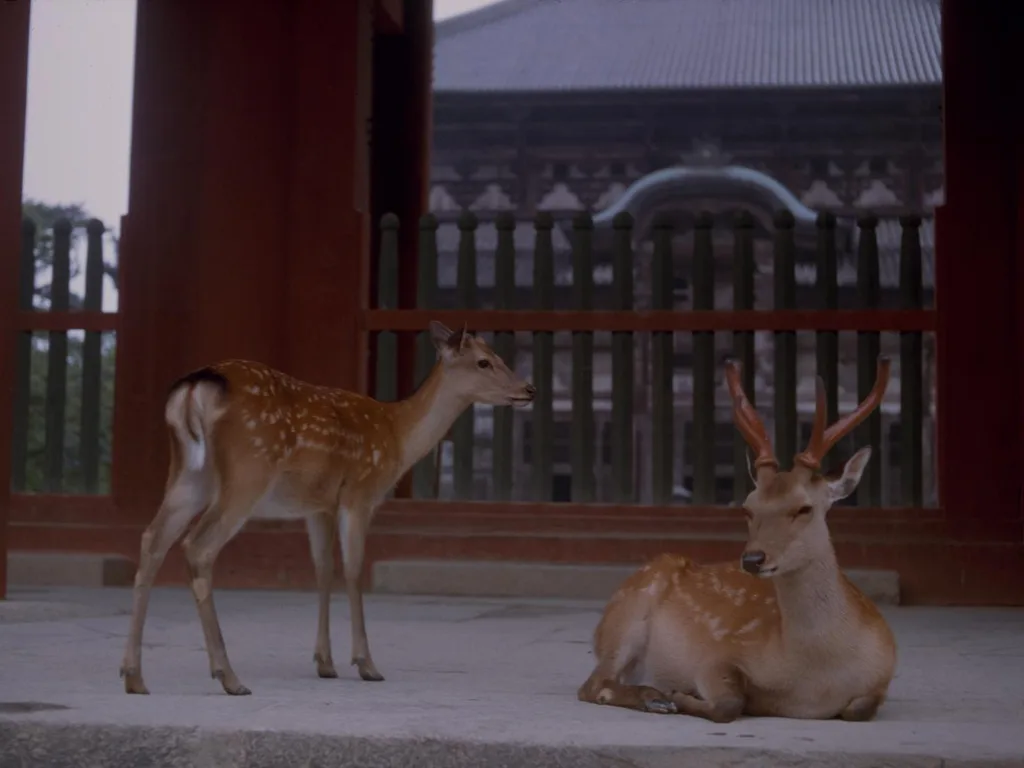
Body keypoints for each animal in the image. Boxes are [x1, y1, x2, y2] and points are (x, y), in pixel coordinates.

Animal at [119, 321, 535, 696]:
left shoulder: (318, 506)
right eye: (484, 361)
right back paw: (229, 677)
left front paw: (325, 662)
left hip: (188, 474)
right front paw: (366, 664)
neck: (397, 438)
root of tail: (195, 387)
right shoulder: (360, 492)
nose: (528, 389)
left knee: (152, 539)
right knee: (198, 546)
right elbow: (352, 570)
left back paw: (134, 676)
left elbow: (323, 569)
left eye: (499, 356)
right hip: (246, 473)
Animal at [577, 355, 897, 723]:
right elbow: (730, 702)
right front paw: (679, 694)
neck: (815, 679)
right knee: (594, 684)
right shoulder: (717, 655)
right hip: (627, 616)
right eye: (748, 507)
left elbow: (859, 708)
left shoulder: (883, 675)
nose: (753, 559)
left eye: (804, 508)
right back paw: (654, 697)